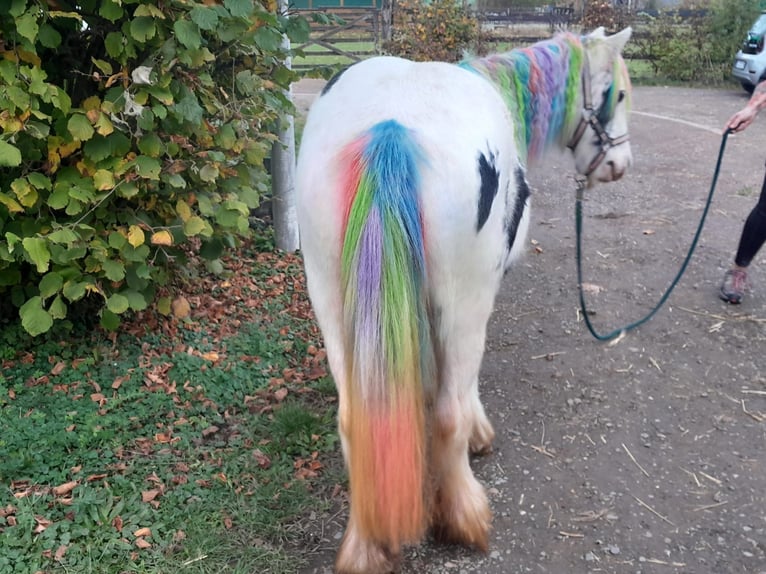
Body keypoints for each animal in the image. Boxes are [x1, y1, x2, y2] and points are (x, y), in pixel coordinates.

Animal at [296, 27, 632, 574]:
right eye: (619, 95)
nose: (620, 165)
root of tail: (391, 126)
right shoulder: (479, 295)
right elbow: (460, 389)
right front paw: (478, 432)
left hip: (329, 296)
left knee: (352, 419)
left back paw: (364, 546)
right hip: (462, 302)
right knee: (448, 412)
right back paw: (465, 517)